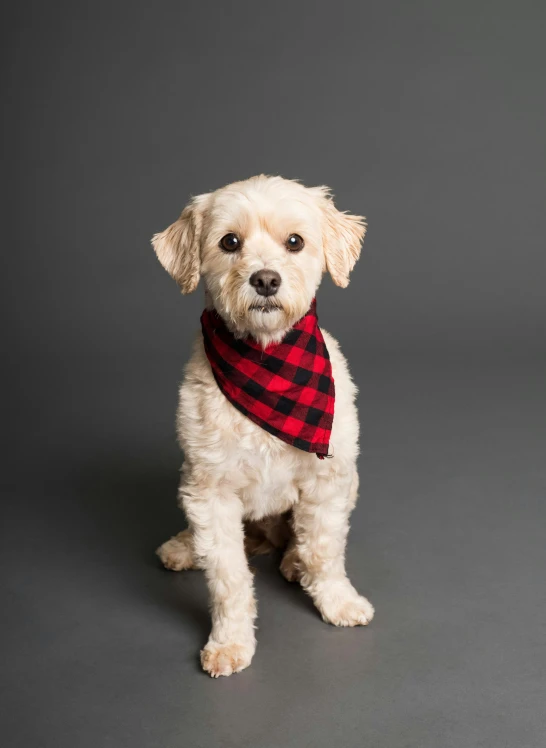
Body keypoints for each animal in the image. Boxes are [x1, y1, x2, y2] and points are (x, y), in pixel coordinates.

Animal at [153, 175, 374, 676]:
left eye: (295, 242)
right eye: (229, 242)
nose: (266, 279)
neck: (266, 360)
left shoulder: (328, 480)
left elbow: (324, 549)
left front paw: (337, 600)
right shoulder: (210, 491)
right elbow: (227, 576)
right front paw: (230, 641)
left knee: (298, 540)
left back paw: (292, 561)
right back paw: (184, 547)